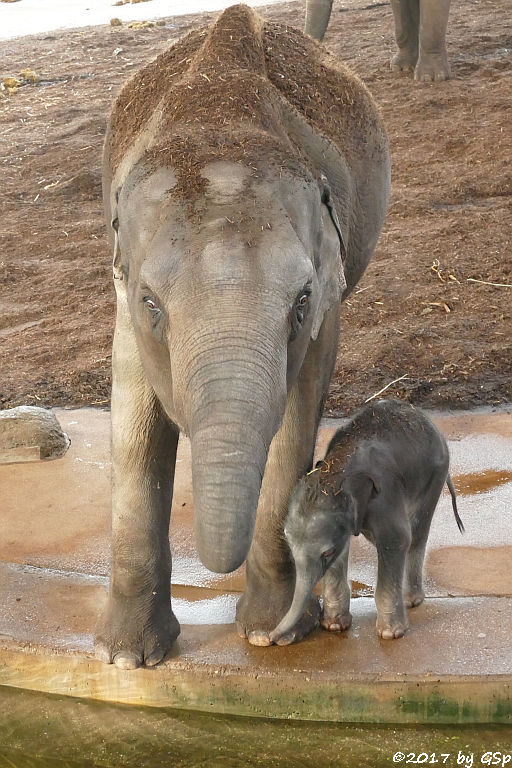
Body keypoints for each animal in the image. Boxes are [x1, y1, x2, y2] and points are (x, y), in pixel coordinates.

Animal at [95, 3, 388, 664]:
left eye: (300, 304)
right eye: (152, 305)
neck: (218, 120)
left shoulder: (326, 292)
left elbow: (295, 420)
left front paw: (270, 632)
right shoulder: (123, 284)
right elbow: (135, 421)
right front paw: (127, 657)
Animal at [272, 400, 464, 644]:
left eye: (326, 553)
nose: (272, 638)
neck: (335, 472)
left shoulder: (384, 494)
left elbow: (397, 539)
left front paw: (391, 633)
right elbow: (344, 549)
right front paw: (334, 626)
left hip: (436, 474)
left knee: (417, 533)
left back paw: (411, 600)